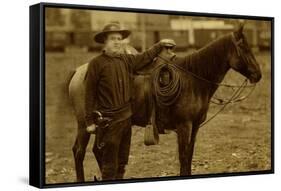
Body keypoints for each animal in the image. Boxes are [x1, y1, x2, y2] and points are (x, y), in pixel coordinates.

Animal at [68, 23, 260, 181]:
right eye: (243, 47)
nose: (258, 74)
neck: (192, 80)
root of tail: (79, 71)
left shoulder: (195, 126)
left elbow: (189, 155)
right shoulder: (184, 126)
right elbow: (183, 156)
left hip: (103, 126)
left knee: (98, 151)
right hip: (85, 125)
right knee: (79, 151)